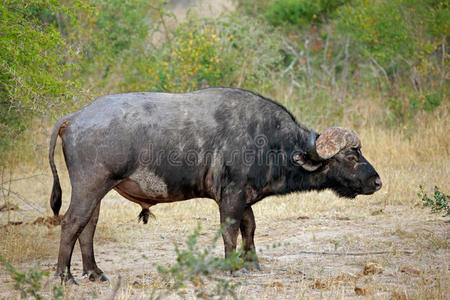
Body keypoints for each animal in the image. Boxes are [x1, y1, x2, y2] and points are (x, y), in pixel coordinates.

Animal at [48, 87, 380, 284]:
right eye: (352, 155)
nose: (376, 181)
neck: (271, 141)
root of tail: (75, 117)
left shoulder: (243, 197)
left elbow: (250, 227)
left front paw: (251, 262)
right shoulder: (230, 197)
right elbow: (230, 231)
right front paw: (232, 266)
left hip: (97, 192)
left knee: (88, 226)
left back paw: (94, 272)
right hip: (90, 186)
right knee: (72, 222)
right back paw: (64, 276)